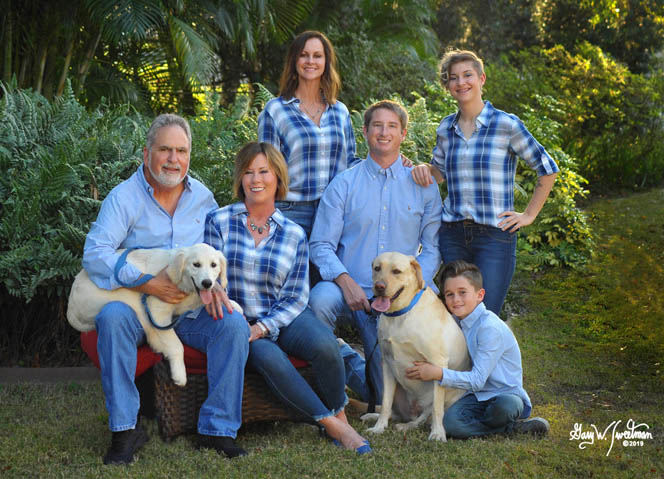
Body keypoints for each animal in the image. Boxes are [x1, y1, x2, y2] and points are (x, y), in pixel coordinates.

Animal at [65, 246, 240, 388]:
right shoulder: (158, 313)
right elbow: (177, 345)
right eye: (196, 264)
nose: (207, 283)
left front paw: (231, 303)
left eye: (214, 265)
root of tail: (70, 307)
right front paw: (179, 374)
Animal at [360, 251, 470, 442]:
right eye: (377, 268)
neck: (400, 315)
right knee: (394, 411)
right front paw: (379, 427)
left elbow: (436, 410)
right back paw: (374, 416)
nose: (379, 286)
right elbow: (386, 402)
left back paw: (408, 425)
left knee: (424, 416)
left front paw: (438, 433)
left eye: (397, 271)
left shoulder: (438, 364)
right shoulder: (387, 363)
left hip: (449, 392)